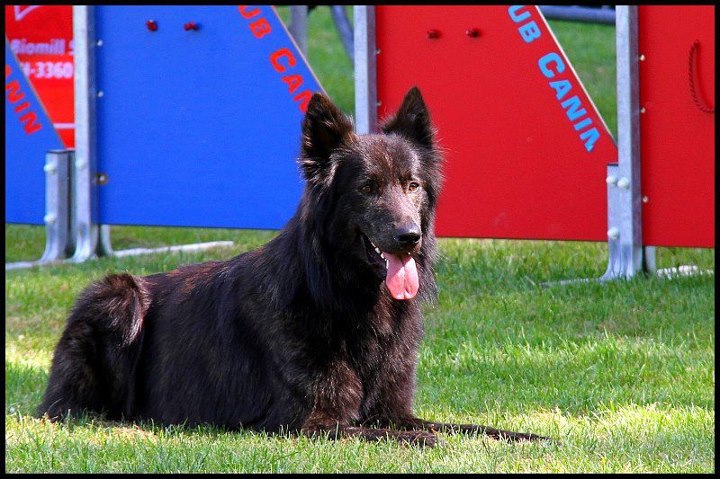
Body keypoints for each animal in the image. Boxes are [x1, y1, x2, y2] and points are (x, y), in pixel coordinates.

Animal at [38, 88, 544, 448]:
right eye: (367, 187)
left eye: (412, 185)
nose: (409, 237)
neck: (345, 296)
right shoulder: (312, 422)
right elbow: (422, 437)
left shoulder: (393, 410)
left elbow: (471, 428)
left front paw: (528, 436)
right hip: (118, 295)